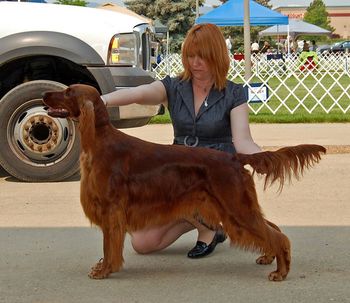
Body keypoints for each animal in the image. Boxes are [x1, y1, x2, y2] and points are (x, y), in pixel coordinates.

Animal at [42, 84, 326, 282]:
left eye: (68, 91)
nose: (44, 94)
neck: (99, 141)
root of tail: (234, 157)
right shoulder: (110, 210)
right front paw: (103, 267)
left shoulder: (111, 209)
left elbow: (109, 245)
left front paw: (105, 270)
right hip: (236, 207)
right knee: (271, 228)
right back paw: (268, 257)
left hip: (235, 206)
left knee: (278, 235)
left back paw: (281, 272)